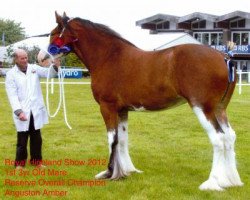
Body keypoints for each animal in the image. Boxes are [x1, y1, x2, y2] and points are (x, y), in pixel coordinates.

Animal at [48, 12, 242, 191]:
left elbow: (112, 139)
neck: (108, 57)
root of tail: (224, 57)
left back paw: (212, 183)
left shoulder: (107, 107)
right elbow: (122, 140)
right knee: (229, 137)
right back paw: (230, 181)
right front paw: (127, 171)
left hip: (202, 108)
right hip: (220, 109)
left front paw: (110, 173)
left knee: (218, 139)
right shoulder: (122, 110)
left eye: (55, 32)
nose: (45, 54)